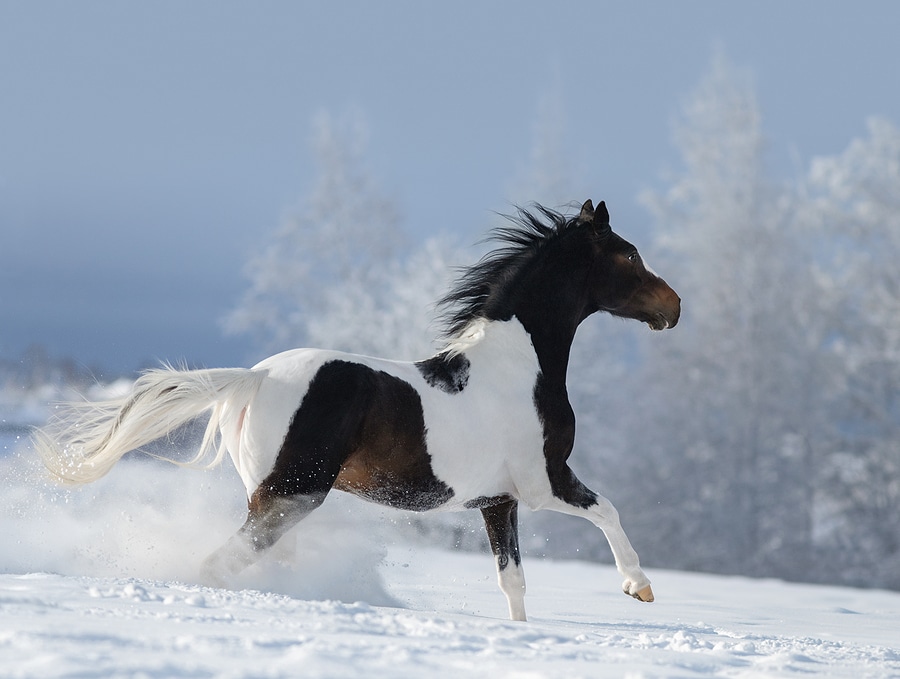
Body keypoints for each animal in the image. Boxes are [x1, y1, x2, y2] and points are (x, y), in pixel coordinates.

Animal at [37, 199, 684, 624]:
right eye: (629, 256)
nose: (674, 306)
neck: (520, 365)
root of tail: (256, 377)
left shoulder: (497, 501)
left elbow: (514, 583)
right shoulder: (543, 481)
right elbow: (608, 510)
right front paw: (640, 588)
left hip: (275, 496)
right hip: (294, 493)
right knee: (221, 562)